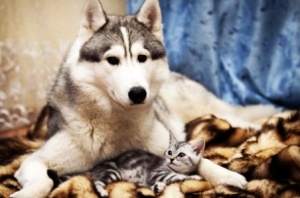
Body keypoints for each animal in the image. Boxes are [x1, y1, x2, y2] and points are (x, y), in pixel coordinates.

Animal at [11, 0, 276, 198]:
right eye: (112, 60)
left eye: (142, 58)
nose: (138, 93)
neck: (115, 123)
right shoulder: (35, 161)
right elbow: (44, 181)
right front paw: (24, 194)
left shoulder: (166, 146)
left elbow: (204, 162)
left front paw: (228, 176)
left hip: (201, 106)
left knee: (231, 114)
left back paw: (254, 124)